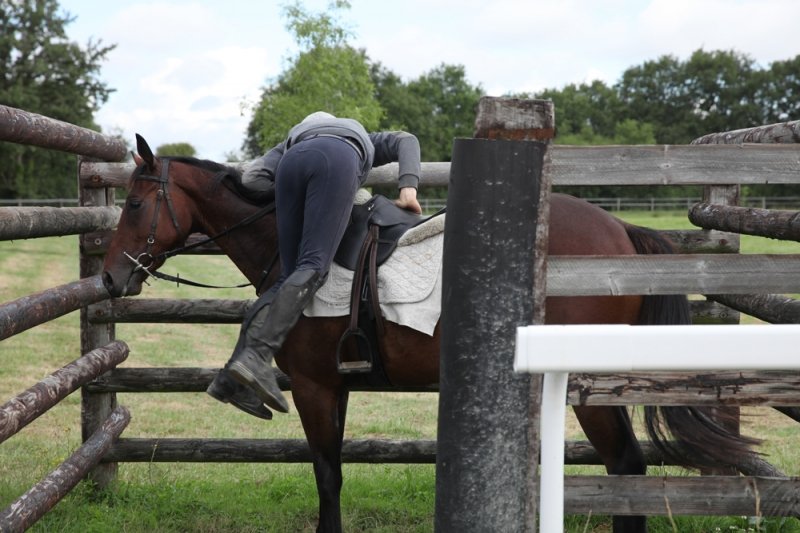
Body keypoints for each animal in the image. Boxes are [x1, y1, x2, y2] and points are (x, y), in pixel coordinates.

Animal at [101, 136, 758, 533]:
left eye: (133, 204)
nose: (109, 278)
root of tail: (621, 230)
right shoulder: (335, 387)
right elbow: (332, 469)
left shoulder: (316, 386)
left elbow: (327, 474)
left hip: (586, 388)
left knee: (626, 466)